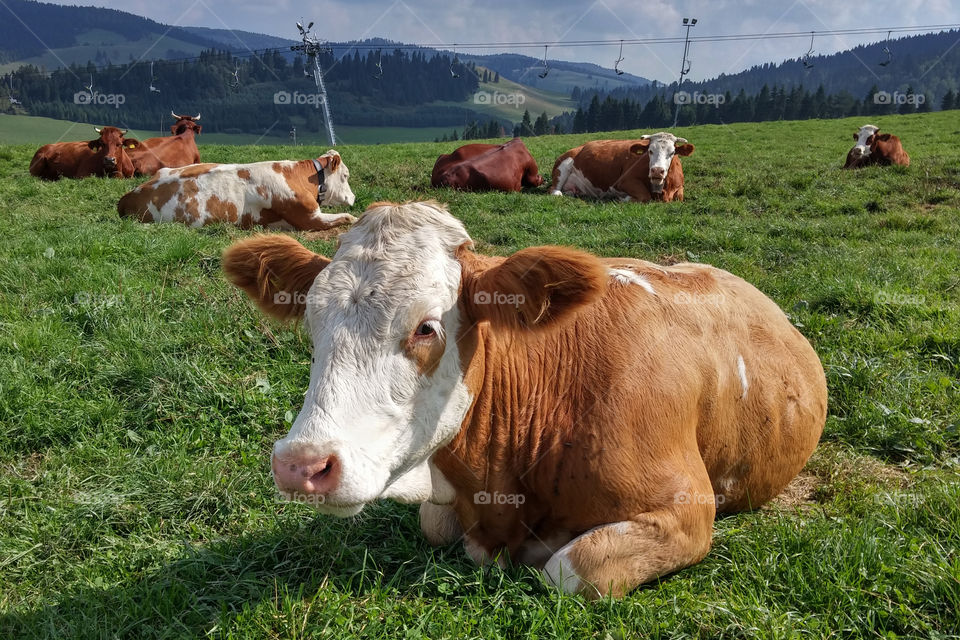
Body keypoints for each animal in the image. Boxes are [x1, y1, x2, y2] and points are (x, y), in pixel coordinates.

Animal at [219, 201, 824, 600]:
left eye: (426, 328)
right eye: (312, 321)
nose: (301, 465)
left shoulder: (688, 508)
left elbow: (569, 570)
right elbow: (435, 523)